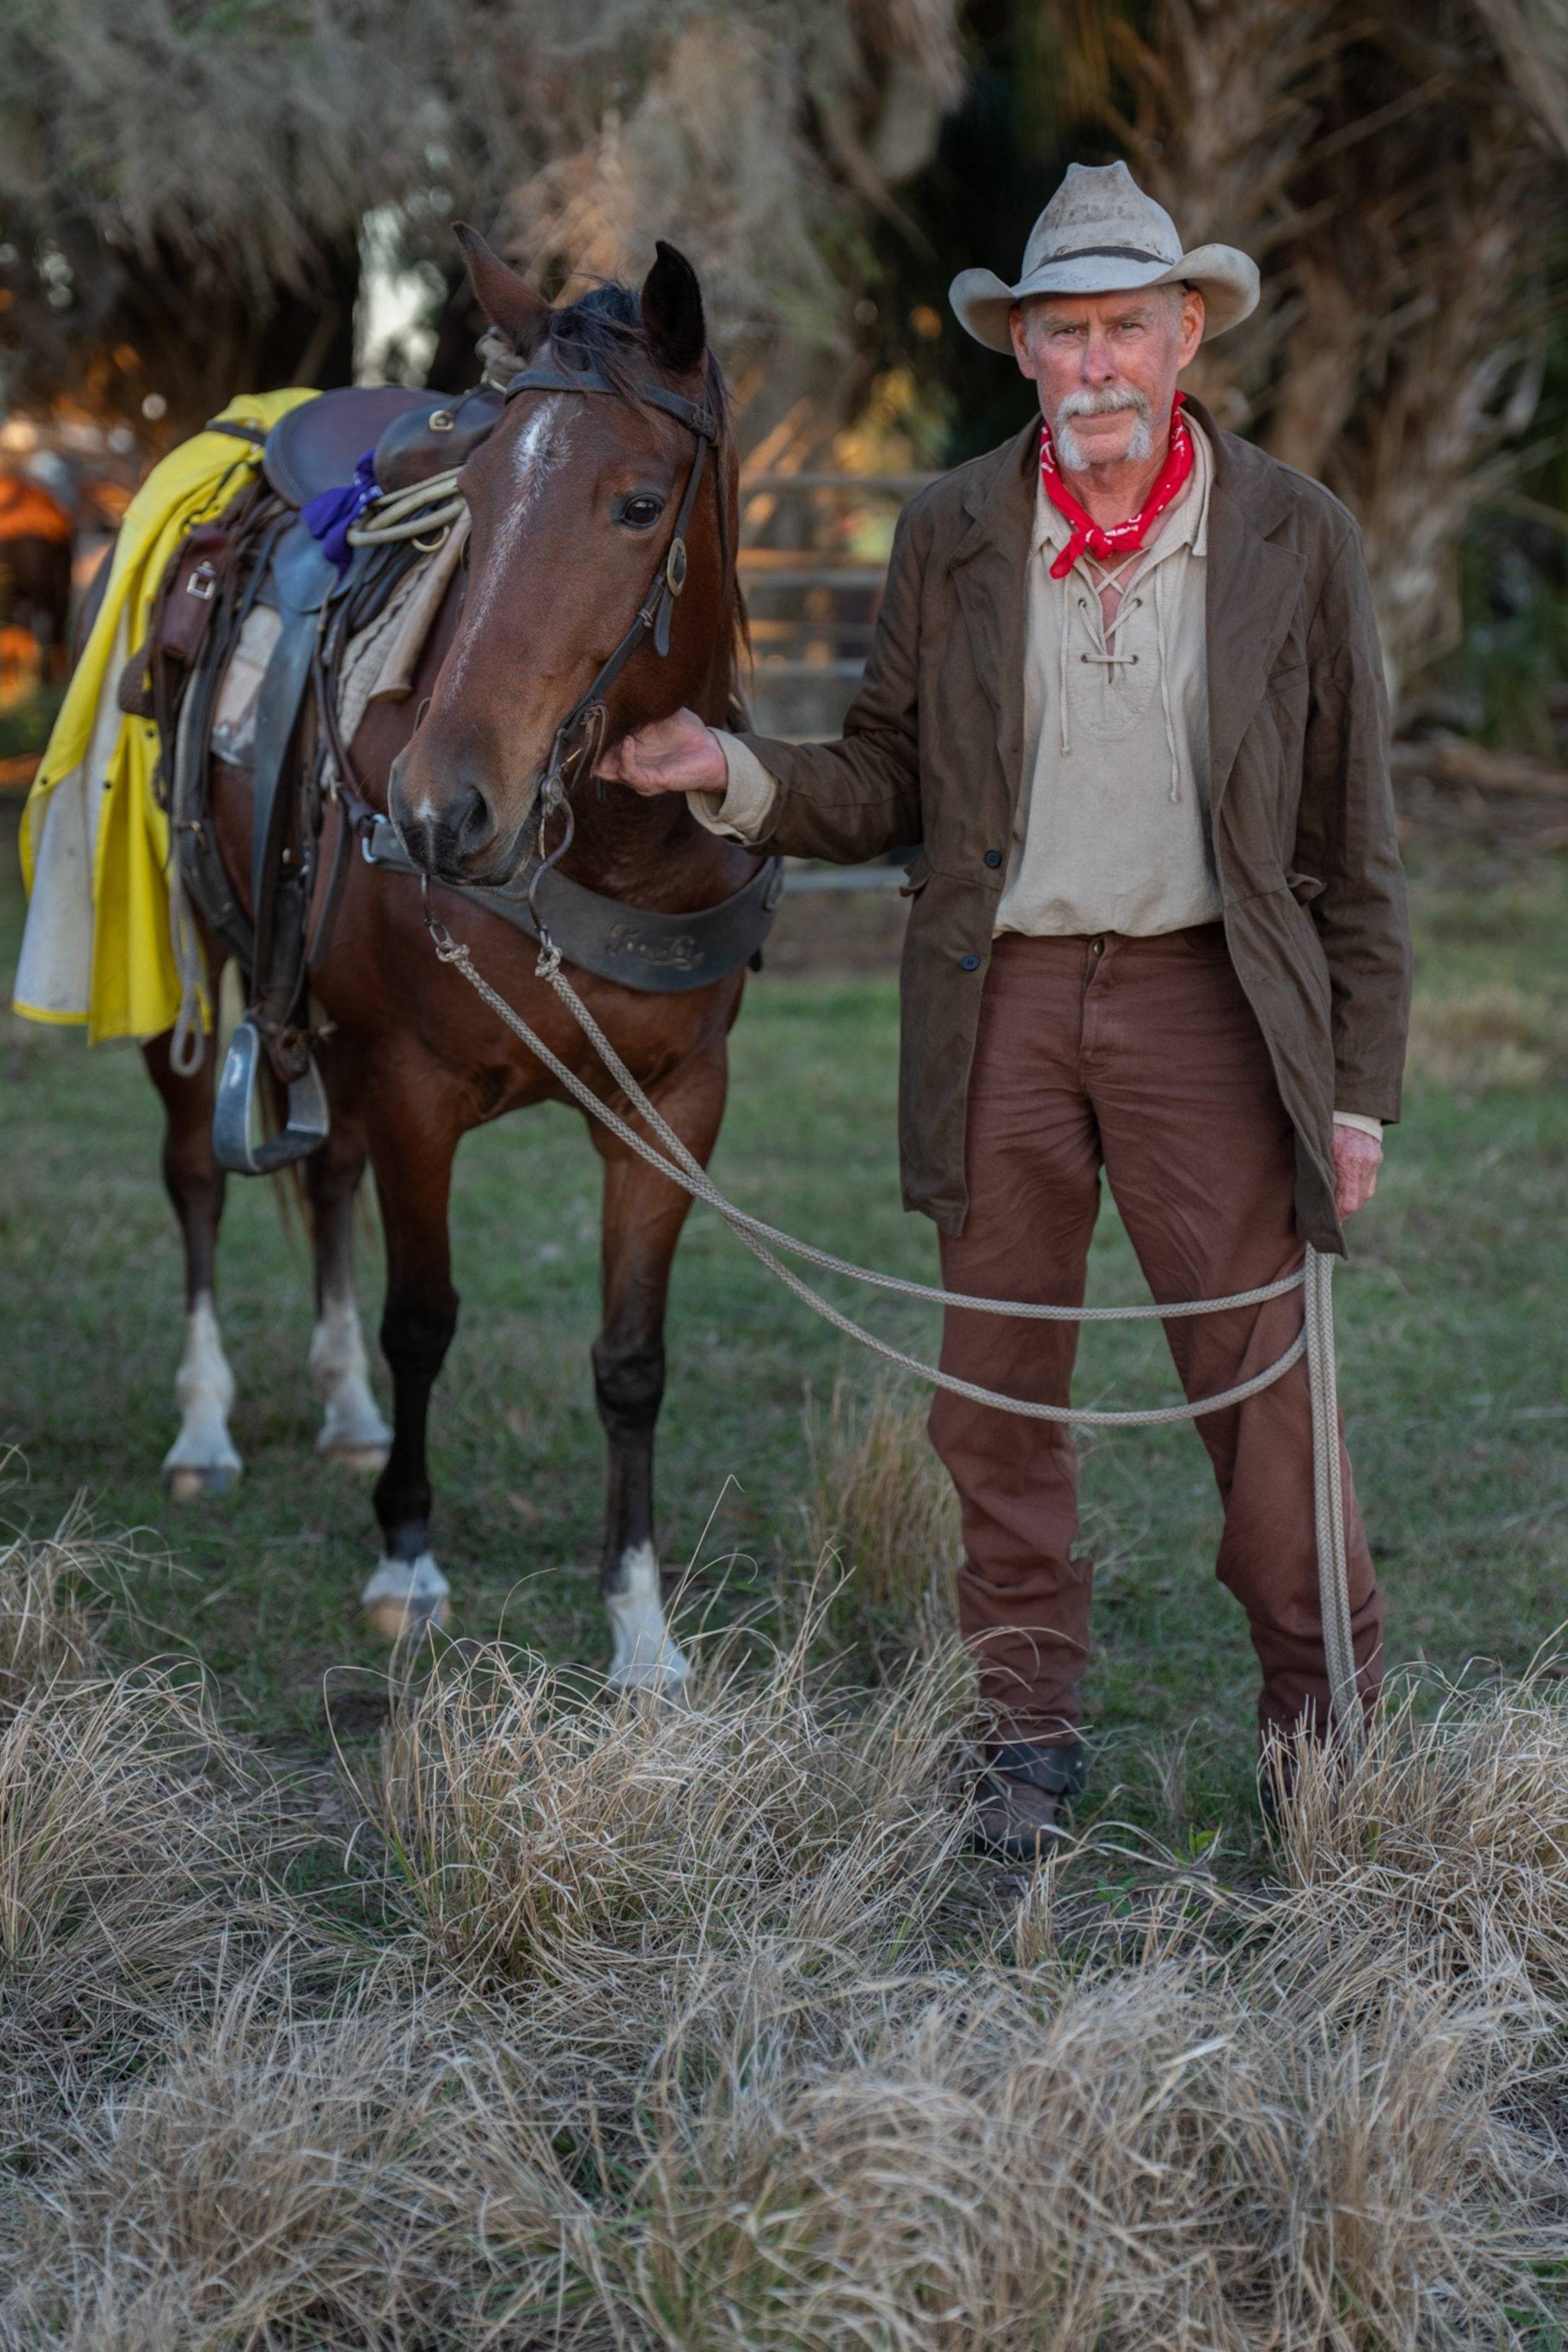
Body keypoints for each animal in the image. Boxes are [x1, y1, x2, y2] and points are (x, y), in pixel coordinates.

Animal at [143, 234, 757, 1688]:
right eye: (467, 500)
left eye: (636, 503)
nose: (437, 806)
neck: (614, 856)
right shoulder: (419, 1091)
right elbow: (422, 1315)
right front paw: (407, 1561)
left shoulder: (675, 1107)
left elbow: (631, 1357)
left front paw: (641, 1629)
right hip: (187, 973)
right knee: (197, 1174)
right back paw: (206, 1426)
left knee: (323, 1181)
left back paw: (345, 1413)